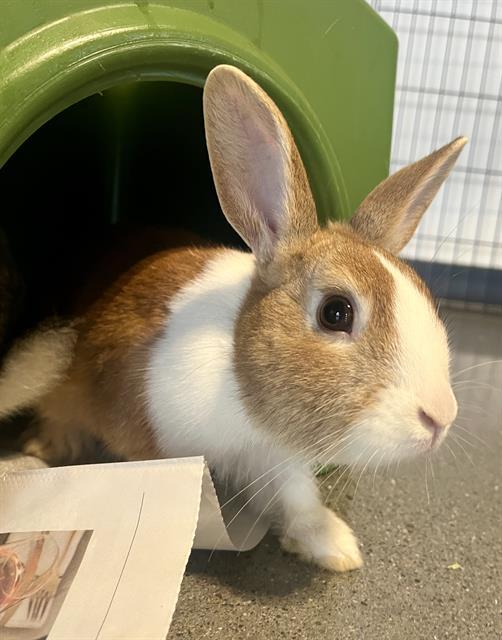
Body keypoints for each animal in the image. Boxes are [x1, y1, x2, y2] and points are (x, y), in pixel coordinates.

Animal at [0, 65, 466, 572]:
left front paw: (336, 548)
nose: (441, 418)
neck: (239, 375)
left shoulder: (276, 458)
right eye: (336, 312)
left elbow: (298, 499)